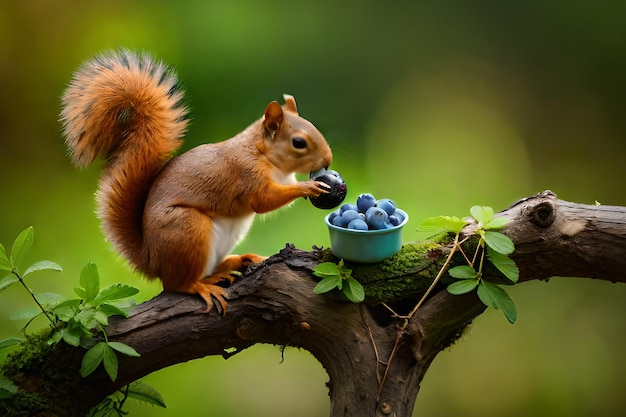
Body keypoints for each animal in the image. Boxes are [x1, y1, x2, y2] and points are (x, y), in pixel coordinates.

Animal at [59, 49, 332, 312]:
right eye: (299, 142)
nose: (328, 160)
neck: (263, 154)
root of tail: (152, 261)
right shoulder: (246, 174)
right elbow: (263, 201)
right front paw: (308, 187)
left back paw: (240, 260)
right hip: (187, 229)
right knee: (176, 284)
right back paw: (201, 286)